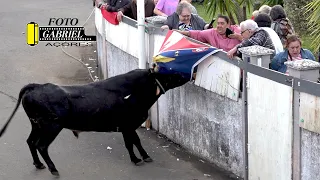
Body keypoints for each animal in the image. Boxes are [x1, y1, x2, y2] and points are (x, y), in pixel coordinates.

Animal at [0, 67, 189, 176]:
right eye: (168, 76)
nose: (185, 74)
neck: (137, 91)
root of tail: (36, 86)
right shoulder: (128, 125)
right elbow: (131, 142)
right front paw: (137, 159)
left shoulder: (128, 126)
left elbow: (134, 141)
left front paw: (144, 156)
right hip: (51, 126)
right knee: (41, 145)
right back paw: (53, 169)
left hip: (36, 125)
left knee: (30, 141)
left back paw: (39, 164)